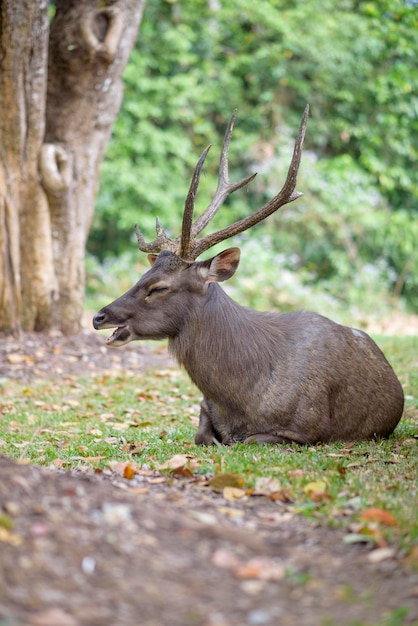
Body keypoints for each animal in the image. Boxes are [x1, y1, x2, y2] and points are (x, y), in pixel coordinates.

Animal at [93, 107, 404, 446]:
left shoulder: (307, 429)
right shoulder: (205, 408)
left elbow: (247, 440)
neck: (238, 398)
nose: (99, 316)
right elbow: (202, 436)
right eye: (144, 273)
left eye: (159, 287)